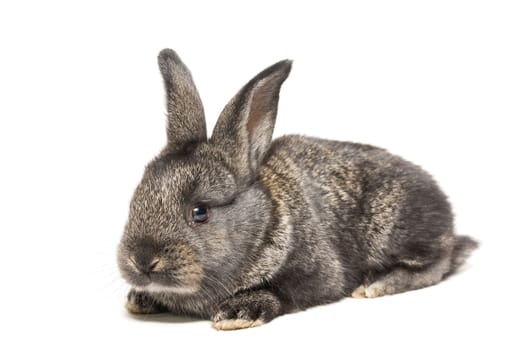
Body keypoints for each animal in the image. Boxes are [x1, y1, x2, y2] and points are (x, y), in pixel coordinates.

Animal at [117, 49, 478, 330]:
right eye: (136, 201)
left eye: (200, 212)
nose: (142, 260)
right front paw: (139, 300)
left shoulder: (318, 276)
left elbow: (285, 292)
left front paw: (238, 312)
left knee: (438, 263)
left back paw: (377, 283)